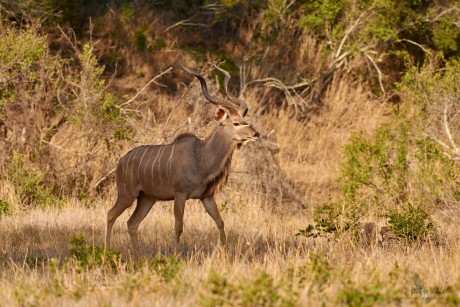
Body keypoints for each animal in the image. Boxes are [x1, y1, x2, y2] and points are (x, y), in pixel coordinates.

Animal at [105, 63, 260, 255]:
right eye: (236, 123)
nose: (256, 134)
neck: (200, 156)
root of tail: (121, 162)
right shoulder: (180, 195)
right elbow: (178, 226)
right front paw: (176, 254)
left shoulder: (207, 197)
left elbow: (220, 222)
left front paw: (223, 252)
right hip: (127, 195)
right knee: (111, 215)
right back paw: (107, 251)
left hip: (147, 198)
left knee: (132, 223)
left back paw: (138, 256)